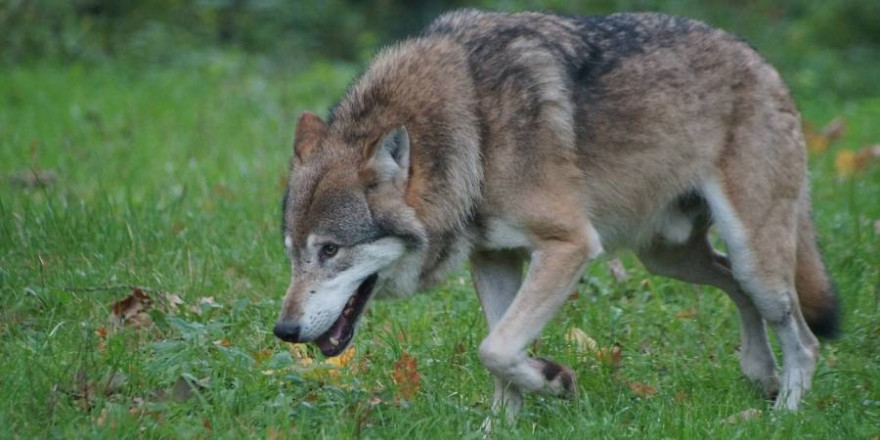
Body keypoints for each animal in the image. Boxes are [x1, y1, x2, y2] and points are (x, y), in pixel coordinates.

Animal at [276, 9, 840, 416]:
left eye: (330, 250)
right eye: (291, 254)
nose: (283, 331)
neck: (474, 133)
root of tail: (763, 64)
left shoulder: (570, 245)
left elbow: (495, 349)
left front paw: (555, 380)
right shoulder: (494, 259)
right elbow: (498, 355)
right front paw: (501, 425)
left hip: (752, 257)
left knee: (805, 340)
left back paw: (785, 414)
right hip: (670, 258)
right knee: (736, 288)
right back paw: (760, 372)